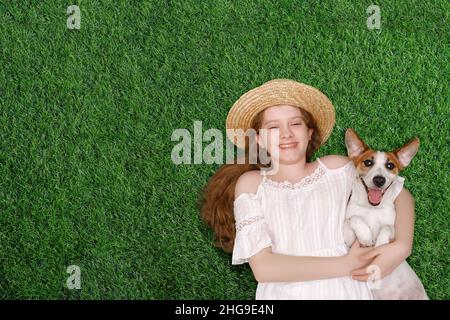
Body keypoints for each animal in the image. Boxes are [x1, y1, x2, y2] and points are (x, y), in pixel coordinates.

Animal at [344, 127, 428, 300]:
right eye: (368, 162)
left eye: (390, 165)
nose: (379, 180)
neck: (372, 209)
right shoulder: (347, 240)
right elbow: (353, 219)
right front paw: (366, 236)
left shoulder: (393, 233)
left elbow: (387, 228)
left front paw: (381, 243)